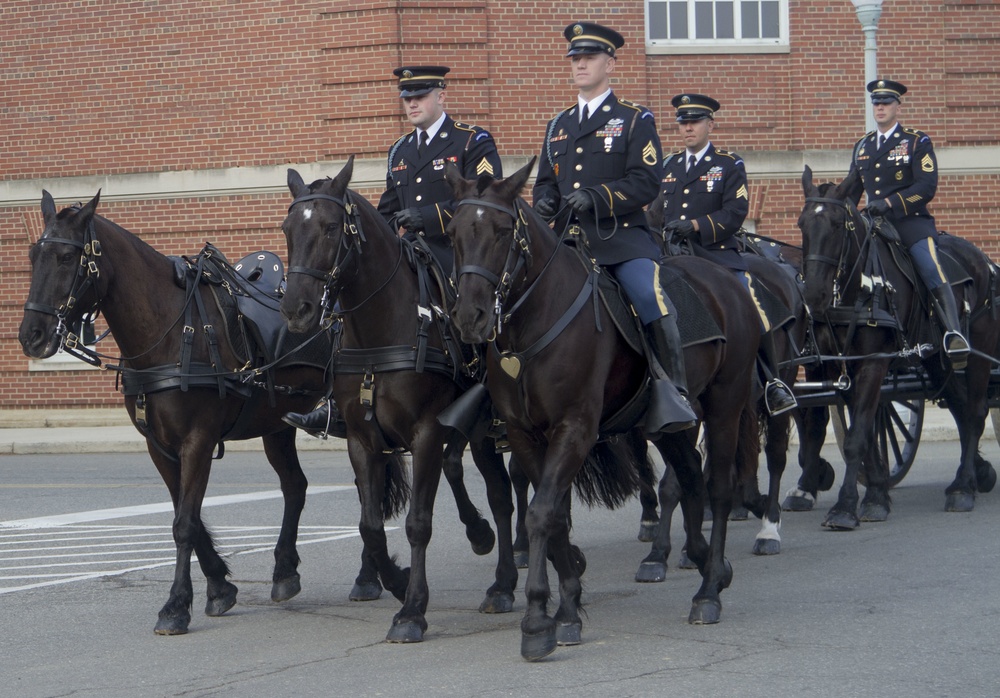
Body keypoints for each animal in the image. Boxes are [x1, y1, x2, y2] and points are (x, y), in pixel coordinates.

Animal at [18, 189, 332, 632]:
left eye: (66, 257)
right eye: (32, 255)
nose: (31, 335)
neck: (170, 331)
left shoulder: (198, 440)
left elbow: (184, 524)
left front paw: (176, 606)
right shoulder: (160, 446)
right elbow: (189, 517)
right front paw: (219, 587)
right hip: (277, 425)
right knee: (295, 486)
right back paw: (285, 571)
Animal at [280, 158, 520, 640]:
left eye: (331, 227)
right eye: (287, 228)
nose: (296, 308)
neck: (381, 330)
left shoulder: (426, 431)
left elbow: (418, 523)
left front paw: (412, 610)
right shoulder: (362, 439)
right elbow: (370, 524)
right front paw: (395, 579)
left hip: (484, 429)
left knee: (502, 496)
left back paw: (502, 582)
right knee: (462, 475)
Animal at [446, 158, 756, 656]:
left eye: (501, 230)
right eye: (453, 231)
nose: (469, 317)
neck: (534, 323)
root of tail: (725, 277)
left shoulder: (575, 428)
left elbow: (541, 513)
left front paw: (537, 619)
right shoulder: (524, 433)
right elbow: (553, 517)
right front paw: (567, 609)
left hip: (726, 405)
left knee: (719, 489)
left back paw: (708, 591)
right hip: (667, 424)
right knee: (689, 477)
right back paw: (704, 561)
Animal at [792, 164, 996, 520]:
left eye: (837, 224)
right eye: (802, 224)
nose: (814, 296)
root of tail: (983, 260)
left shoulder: (874, 361)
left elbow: (858, 437)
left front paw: (847, 506)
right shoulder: (837, 367)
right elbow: (861, 433)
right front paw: (875, 492)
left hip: (977, 353)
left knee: (974, 410)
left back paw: (963, 487)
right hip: (935, 359)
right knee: (960, 407)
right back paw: (973, 475)